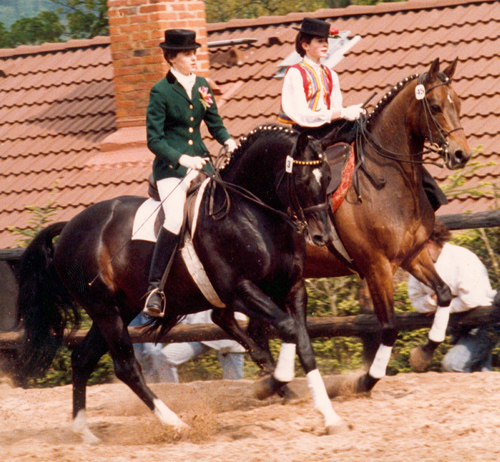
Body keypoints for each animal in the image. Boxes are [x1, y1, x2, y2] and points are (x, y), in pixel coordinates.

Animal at [14, 124, 348, 442]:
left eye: (329, 176)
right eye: (303, 180)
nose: (322, 236)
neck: (253, 214)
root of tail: (70, 226)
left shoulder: (293, 289)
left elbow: (302, 342)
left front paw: (329, 416)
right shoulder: (240, 291)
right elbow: (287, 330)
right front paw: (272, 384)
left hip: (119, 309)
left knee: (82, 359)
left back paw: (84, 432)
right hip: (106, 311)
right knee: (127, 368)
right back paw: (177, 425)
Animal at [247, 56, 472, 398]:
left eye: (457, 103)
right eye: (434, 106)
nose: (461, 154)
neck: (386, 181)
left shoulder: (413, 256)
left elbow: (445, 294)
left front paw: (422, 355)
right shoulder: (377, 267)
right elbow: (389, 328)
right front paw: (365, 380)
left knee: (255, 330)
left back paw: (277, 385)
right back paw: (273, 383)